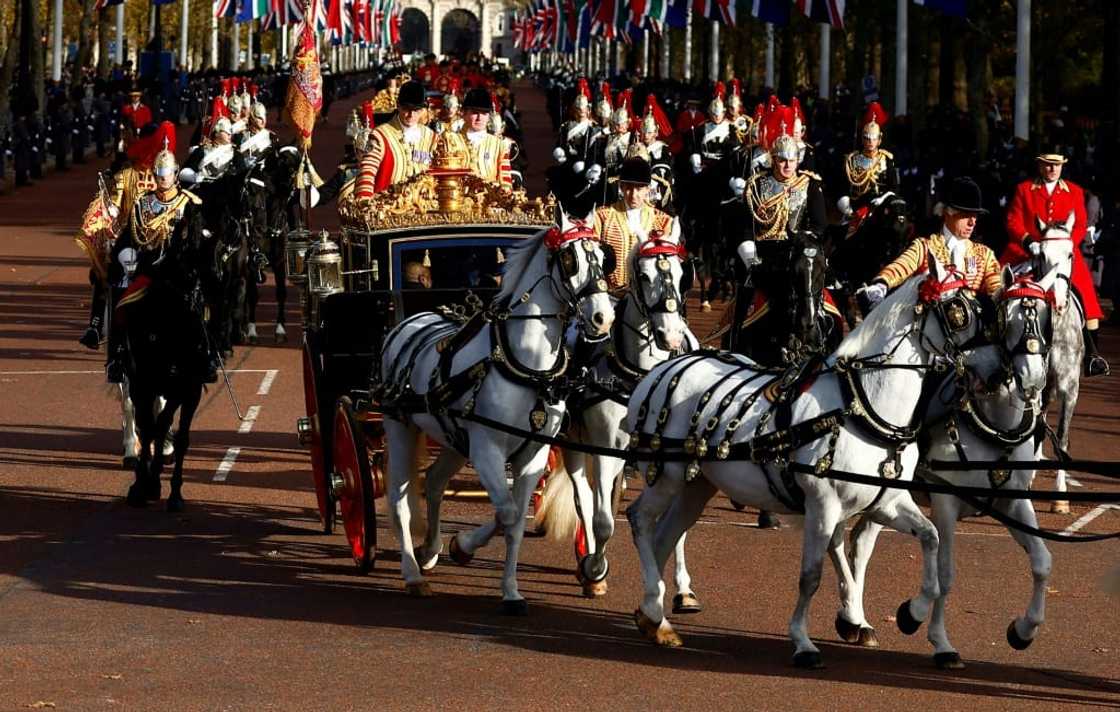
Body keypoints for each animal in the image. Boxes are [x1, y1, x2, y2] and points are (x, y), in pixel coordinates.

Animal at [376, 212, 613, 613]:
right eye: (570, 259)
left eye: (604, 257)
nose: (603, 317)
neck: (526, 366)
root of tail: (408, 322)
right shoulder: (487, 448)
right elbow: (508, 512)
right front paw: (464, 547)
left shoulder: (531, 454)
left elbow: (514, 521)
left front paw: (509, 590)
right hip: (400, 426)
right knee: (399, 500)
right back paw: (413, 574)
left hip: (455, 439)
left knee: (434, 482)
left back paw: (430, 550)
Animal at [535, 225, 698, 604]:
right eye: (645, 275)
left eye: (682, 274)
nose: (671, 337)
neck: (643, 377)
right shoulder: (605, 448)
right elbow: (603, 519)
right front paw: (595, 569)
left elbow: (676, 521)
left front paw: (683, 588)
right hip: (577, 446)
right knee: (585, 499)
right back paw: (589, 564)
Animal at [631, 257, 990, 667]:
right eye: (958, 309)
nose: (996, 367)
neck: (862, 407)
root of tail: (665, 369)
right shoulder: (823, 504)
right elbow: (811, 575)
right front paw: (803, 642)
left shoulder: (886, 502)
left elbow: (930, 538)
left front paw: (910, 614)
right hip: (667, 475)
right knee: (640, 521)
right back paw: (654, 609)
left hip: (697, 485)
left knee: (665, 535)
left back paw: (655, 618)